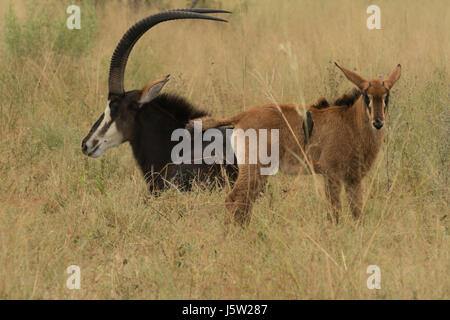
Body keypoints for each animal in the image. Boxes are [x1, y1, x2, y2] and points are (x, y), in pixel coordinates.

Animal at [192, 63, 402, 225]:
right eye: (366, 95)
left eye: (387, 96)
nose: (378, 122)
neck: (350, 123)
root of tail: (242, 116)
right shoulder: (331, 175)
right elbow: (334, 212)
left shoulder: (353, 179)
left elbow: (357, 212)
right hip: (253, 171)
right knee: (234, 200)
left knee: (244, 204)